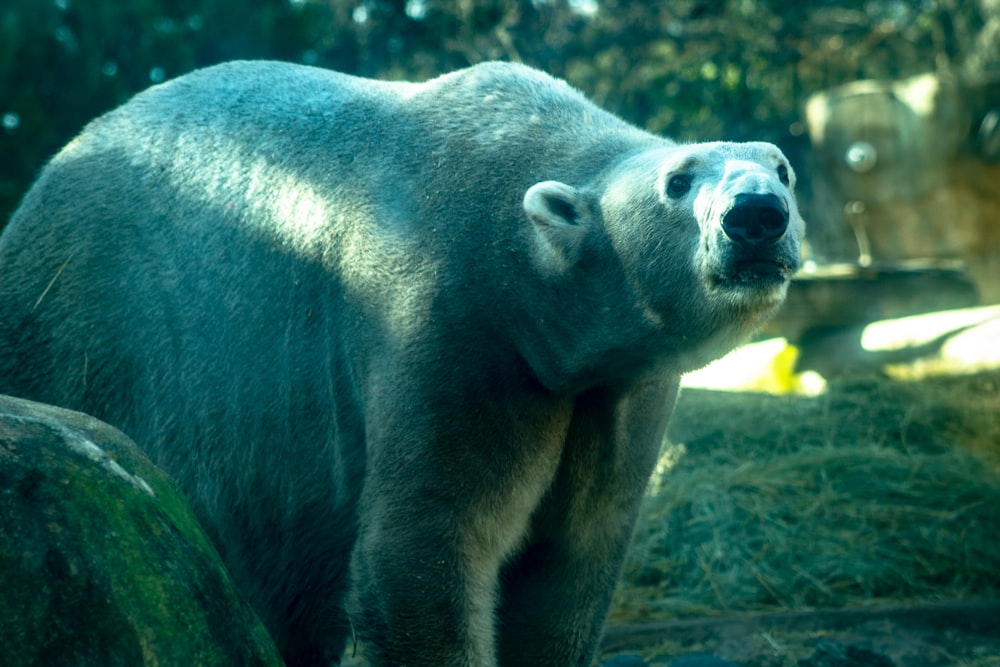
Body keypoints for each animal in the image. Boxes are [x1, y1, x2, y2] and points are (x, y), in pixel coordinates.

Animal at [0, 60, 804, 664]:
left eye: (782, 168)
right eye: (678, 180)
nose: (756, 215)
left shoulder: (617, 388)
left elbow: (573, 558)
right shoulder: (453, 324)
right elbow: (425, 544)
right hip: (80, 338)